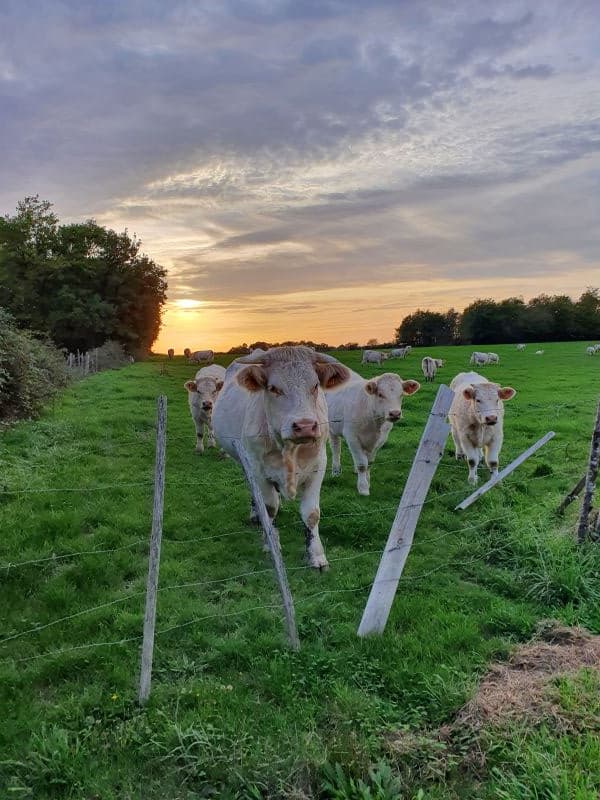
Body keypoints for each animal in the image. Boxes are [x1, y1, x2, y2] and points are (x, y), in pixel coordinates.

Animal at [212, 346, 350, 569]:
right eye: (274, 388)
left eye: (315, 386)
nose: (305, 425)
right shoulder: (258, 469)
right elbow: (269, 509)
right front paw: (271, 545)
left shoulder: (318, 466)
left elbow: (312, 514)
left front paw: (317, 556)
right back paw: (255, 514)